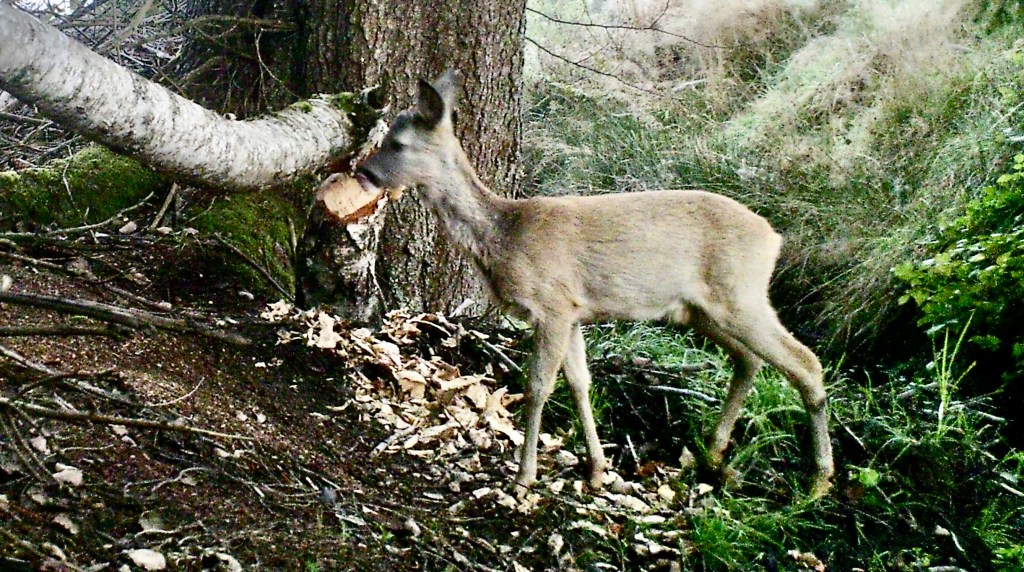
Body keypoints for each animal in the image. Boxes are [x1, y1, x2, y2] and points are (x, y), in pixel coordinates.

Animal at [355, 71, 835, 499]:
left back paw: (816, 484)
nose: (363, 171)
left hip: (740, 294)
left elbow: (538, 387)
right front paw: (598, 468)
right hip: (701, 309)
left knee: (806, 363)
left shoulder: (552, 304)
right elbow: (581, 383)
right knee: (749, 360)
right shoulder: (574, 312)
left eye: (397, 143)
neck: (504, 236)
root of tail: (774, 239)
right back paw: (714, 454)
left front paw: (524, 477)